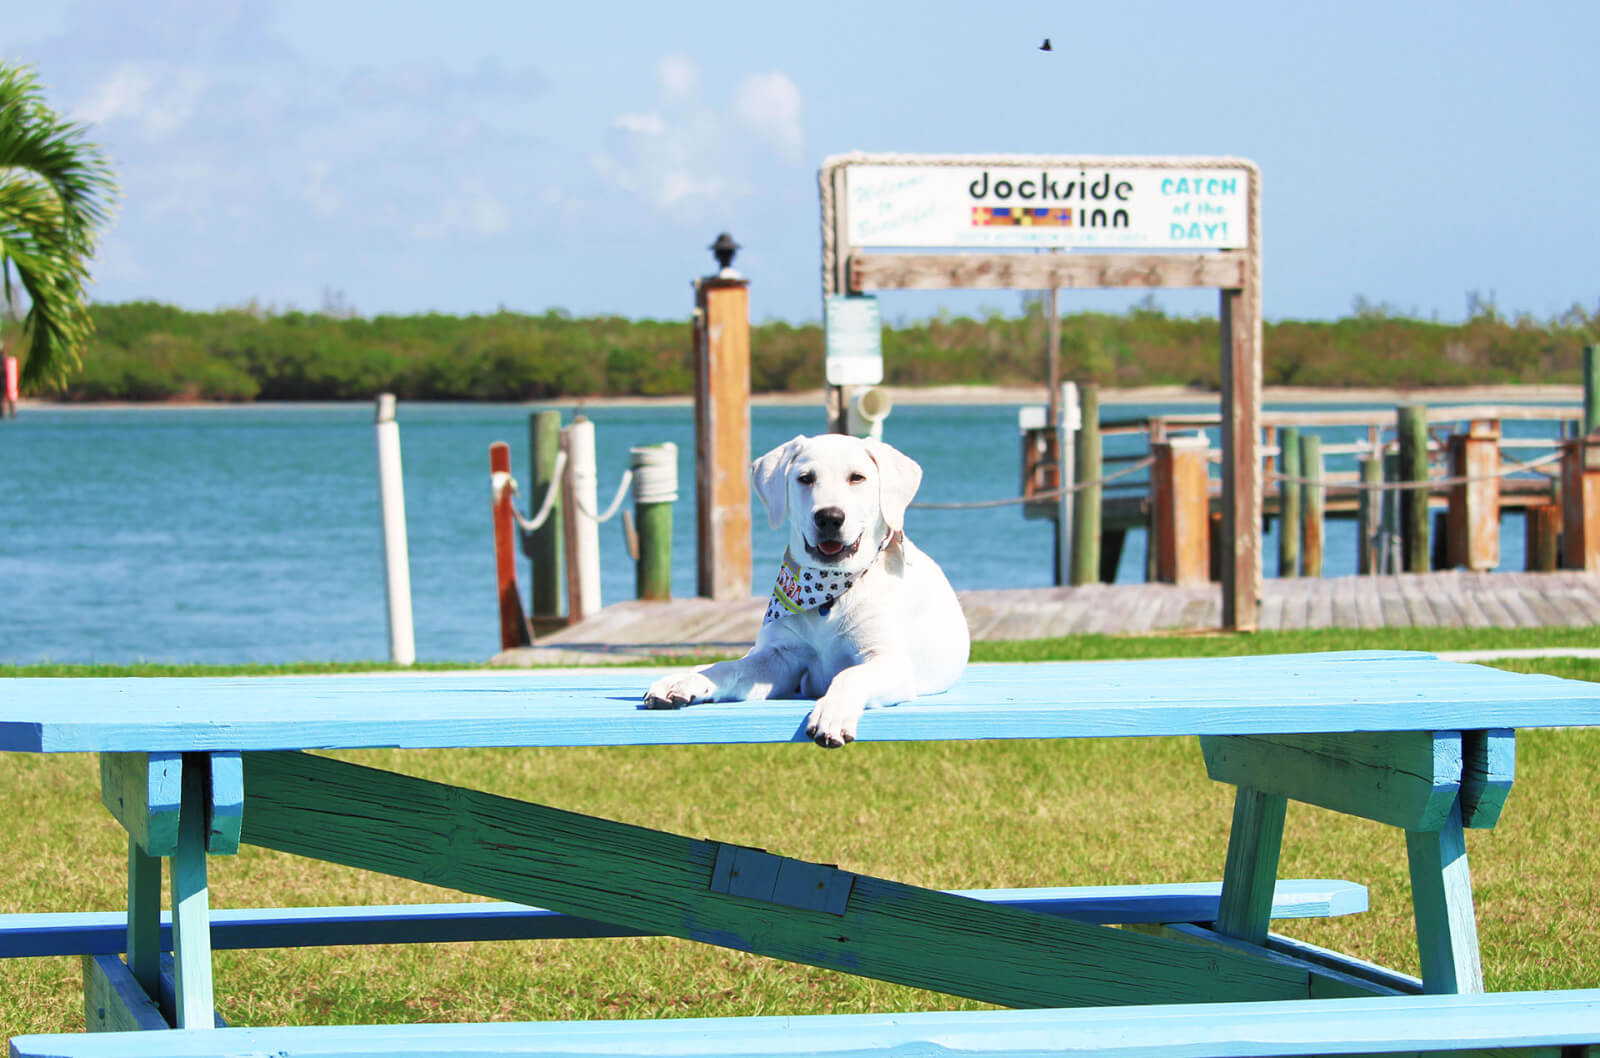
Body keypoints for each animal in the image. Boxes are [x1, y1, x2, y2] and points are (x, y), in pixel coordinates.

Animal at [643, 432, 966, 745]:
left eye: (857, 477)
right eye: (806, 478)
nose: (829, 518)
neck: (829, 591)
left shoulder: (891, 662)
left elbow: (850, 675)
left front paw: (832, 715)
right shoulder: (781, 658)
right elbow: (728, 667)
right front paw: (687, 681)